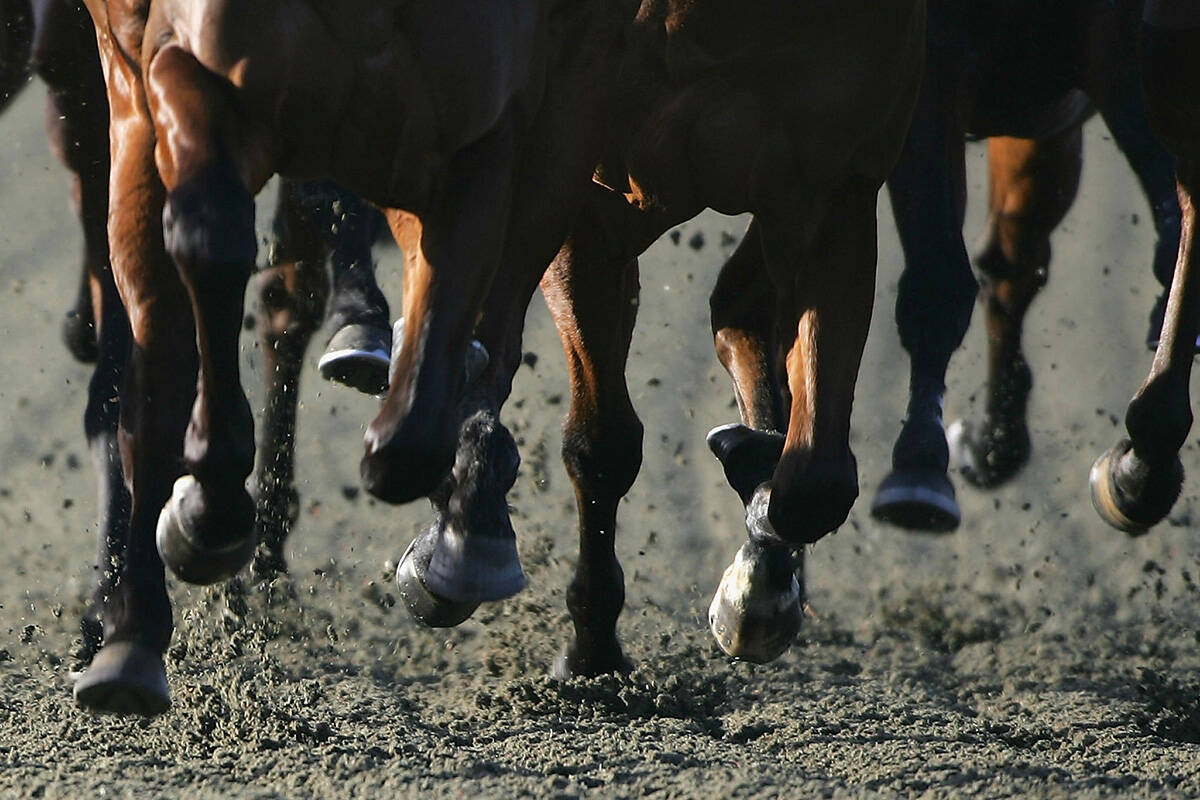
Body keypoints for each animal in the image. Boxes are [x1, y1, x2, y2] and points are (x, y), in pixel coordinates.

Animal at [866, 0, 1182, 533]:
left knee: (1012, 264)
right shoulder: (928, 68)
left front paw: (1139, 470)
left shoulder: (1119, 51)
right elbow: (937, 279)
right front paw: (920, 466)